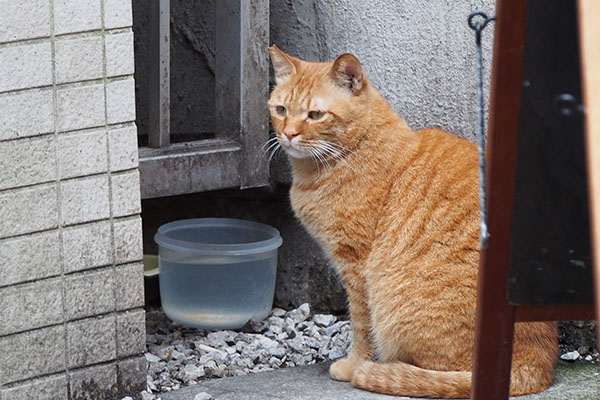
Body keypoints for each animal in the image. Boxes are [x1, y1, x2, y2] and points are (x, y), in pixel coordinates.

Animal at [268, 45, 556, 398]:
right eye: (281, 109)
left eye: (315, 115)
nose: (288, 134)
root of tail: (539, 364)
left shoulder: (356, 265)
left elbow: (361, 323)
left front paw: (355, 363)